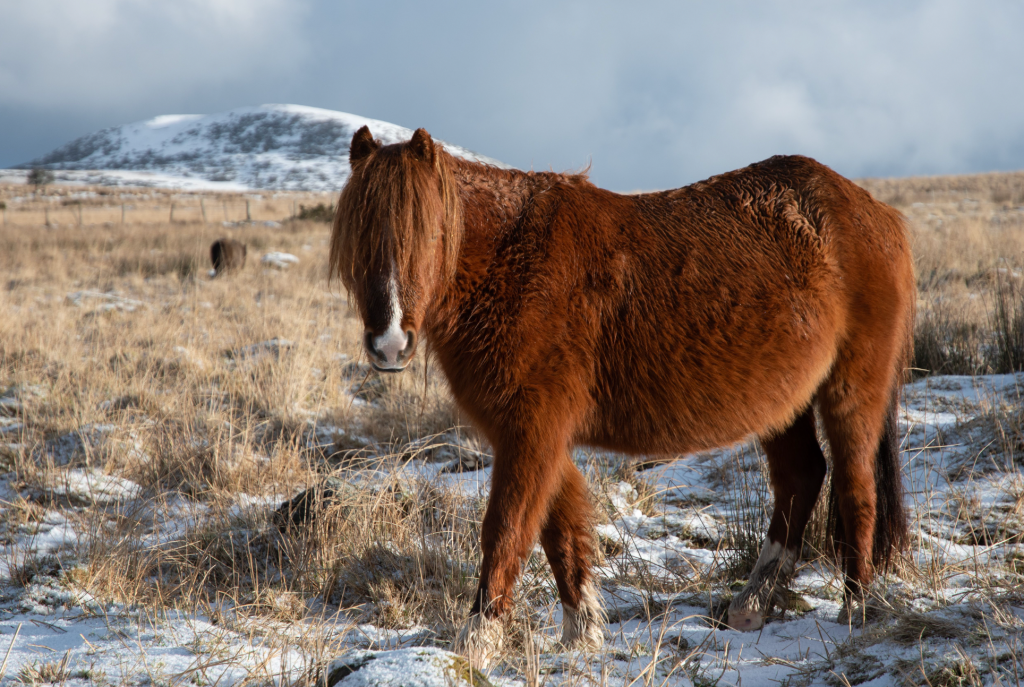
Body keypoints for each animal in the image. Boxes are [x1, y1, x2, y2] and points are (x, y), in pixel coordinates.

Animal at [327, 124, 913, 667]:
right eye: (358, 241)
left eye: (427, 237)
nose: (389, 345)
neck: (511, 260)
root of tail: (872, 212)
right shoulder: (536, 434)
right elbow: (560, 528)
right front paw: (582, 633)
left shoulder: (532, 430)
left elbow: (507, 528)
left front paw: (478, 641)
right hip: (782, 404)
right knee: (801, 477)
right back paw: (753, 604)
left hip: (851, 390)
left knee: (855, 488)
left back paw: (855, 609)